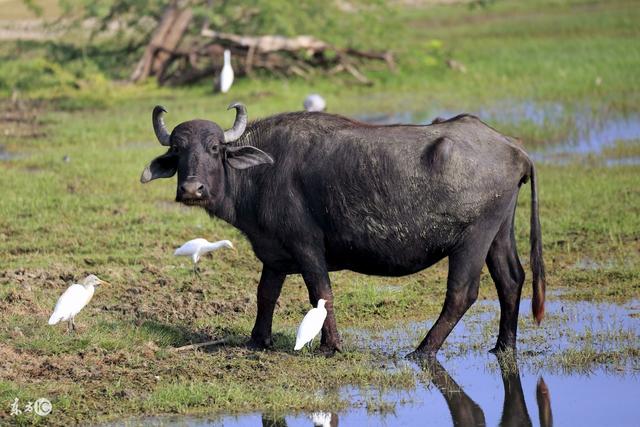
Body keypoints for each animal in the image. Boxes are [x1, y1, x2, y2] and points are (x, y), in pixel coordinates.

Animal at [141, 103, 544, 358]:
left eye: (213, 148)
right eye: (177, 151)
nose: (192, 190)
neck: (261, 173)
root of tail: (515, 149)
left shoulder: (306, 247)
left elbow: (321, 294)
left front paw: (329, 346)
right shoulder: (273, 253)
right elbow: (265, 294)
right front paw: (258, 341)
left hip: (473, 237)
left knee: (462, 293)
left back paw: (421, 350)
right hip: (500, 230)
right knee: (511, 279)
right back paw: (503, 345)